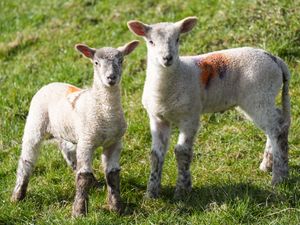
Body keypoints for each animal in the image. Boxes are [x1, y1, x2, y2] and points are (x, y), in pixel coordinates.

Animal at [10, 40, 139, 216]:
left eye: (121, 60)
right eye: (96, 63)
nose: (111, 78)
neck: (105, 114)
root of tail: (51, 83)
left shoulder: (114, 142)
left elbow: (112, 175)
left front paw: (117, 208)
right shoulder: (87, 142)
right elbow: (83, 176)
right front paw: (79, 212)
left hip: (66, 131)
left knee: (68, 152)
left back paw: (94, 183)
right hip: (35, 123)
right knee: (27, 159)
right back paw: (18, 195)